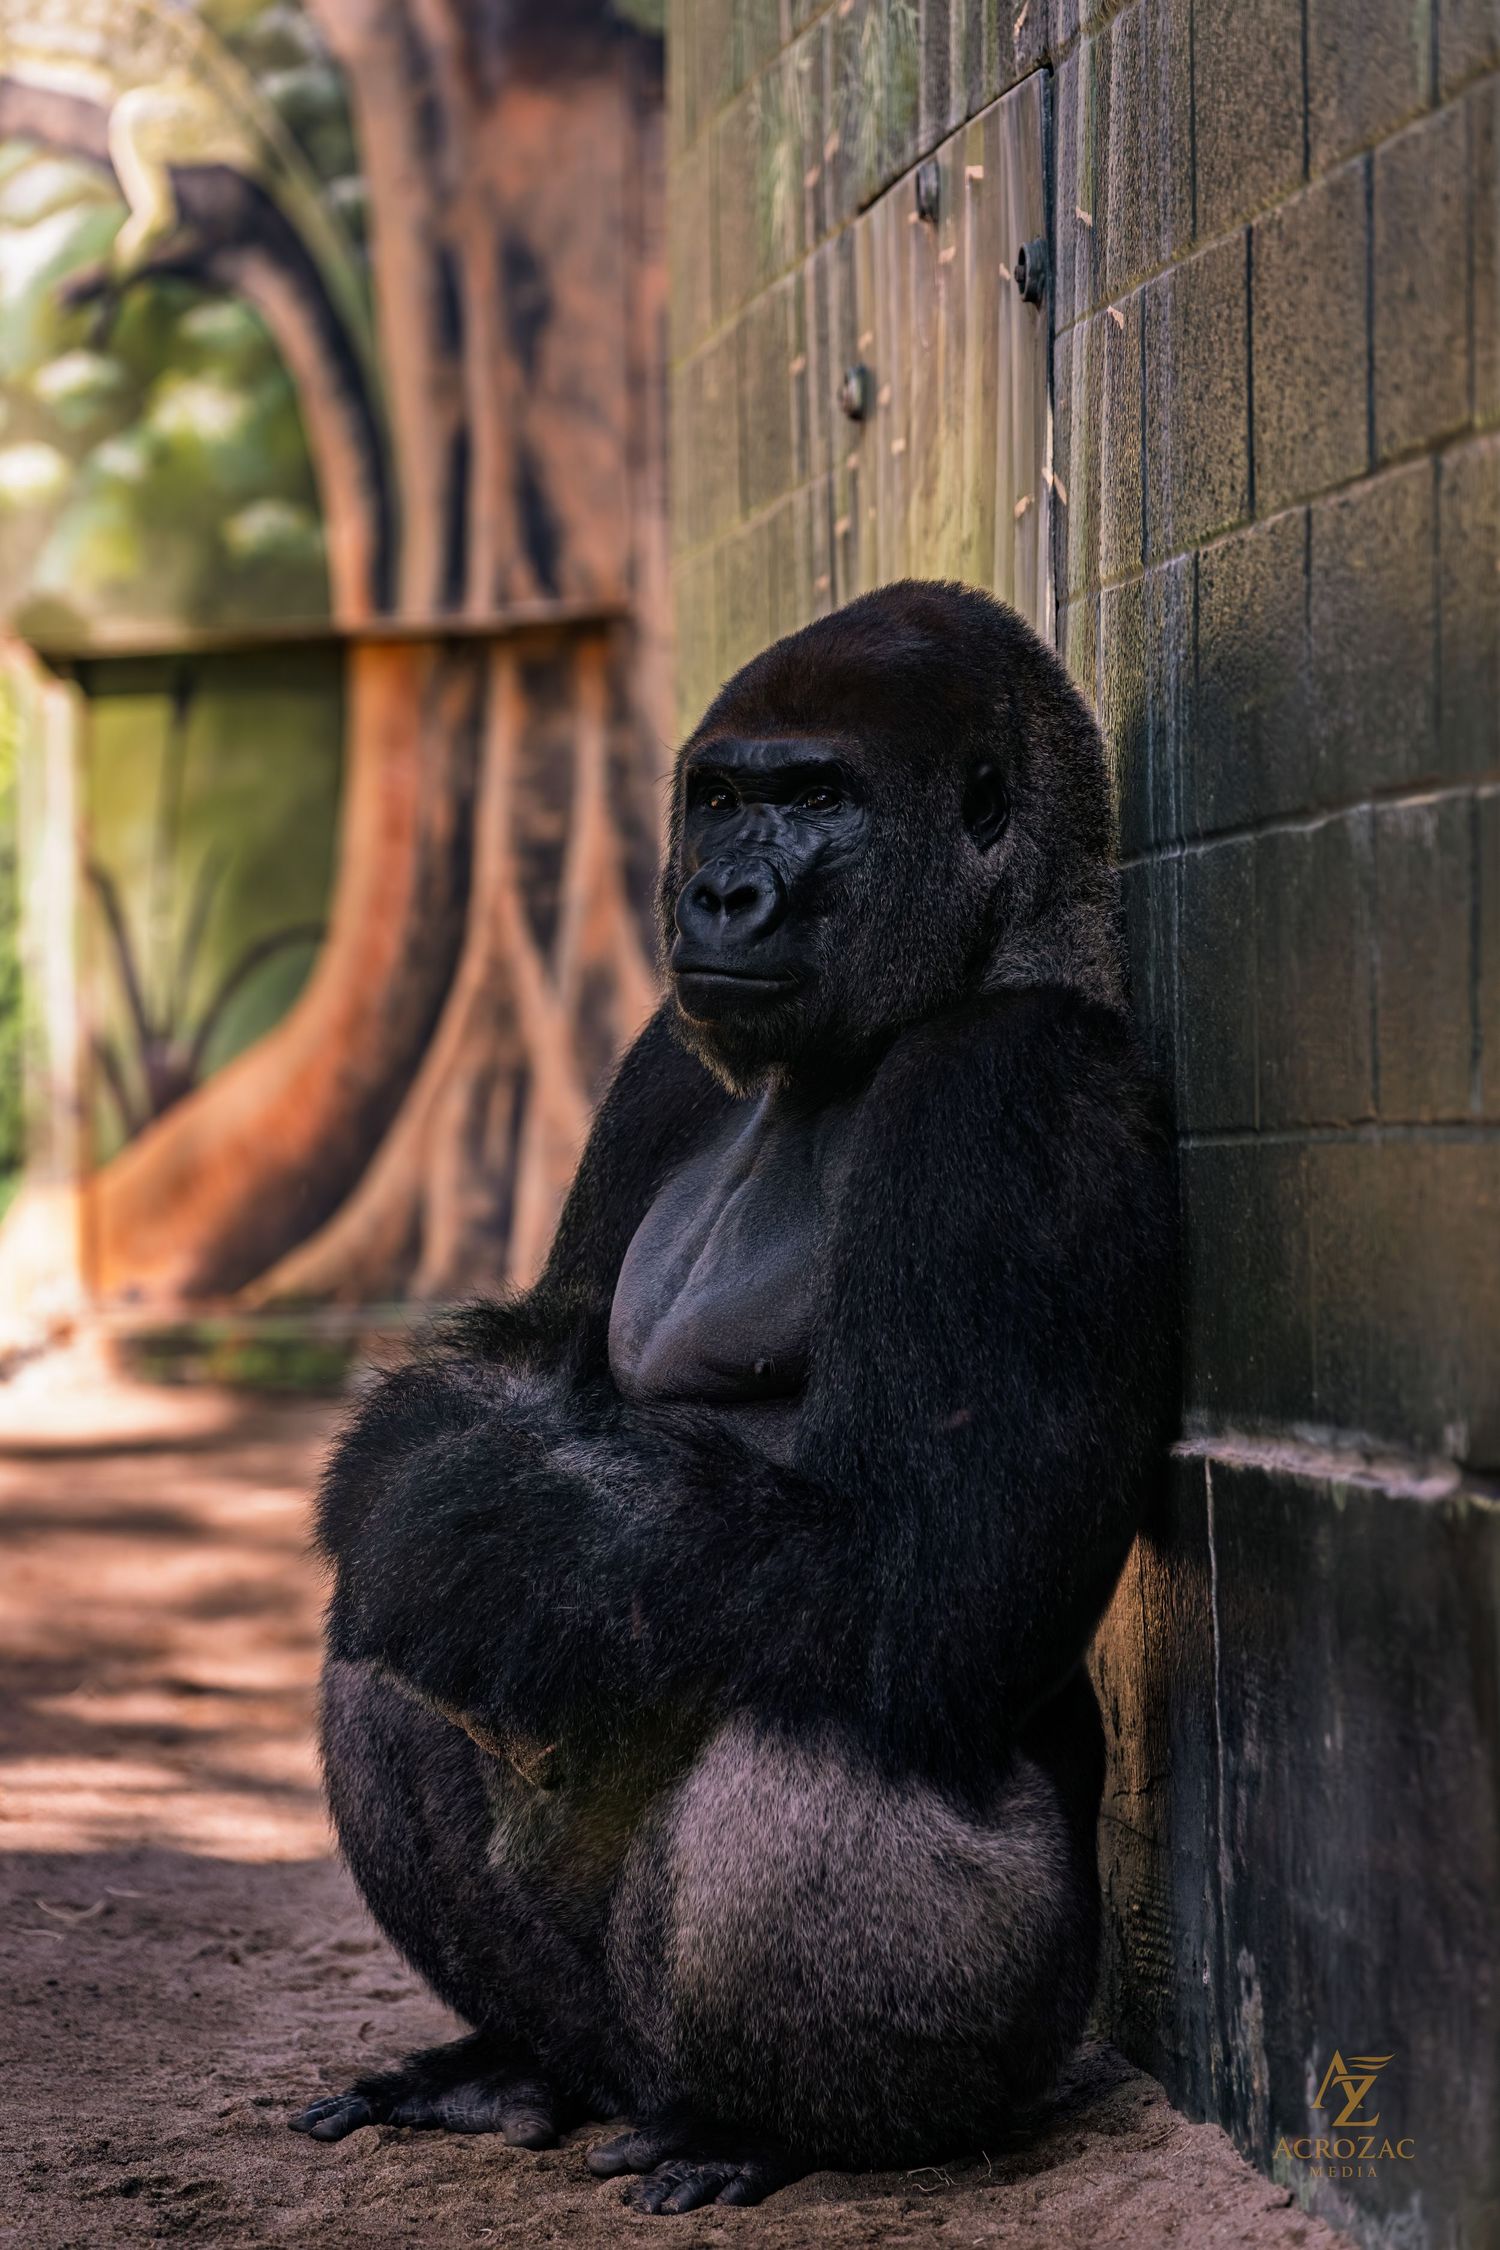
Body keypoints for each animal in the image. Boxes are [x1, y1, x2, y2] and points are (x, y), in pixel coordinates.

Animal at [289, 580, 1179, 2213]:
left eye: (819, 798)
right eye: (717, 797)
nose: (720, 899)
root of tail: (644, 2082)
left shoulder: (1017, 1091)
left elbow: (931, 1564)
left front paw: (459, 1511)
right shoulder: (660, 1052)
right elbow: (533, 1364)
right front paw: (419, 1458)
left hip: (1012, 2029)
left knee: (821, 1726)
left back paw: (779, 2130)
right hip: (606, 2025)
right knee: (384, 1657)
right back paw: (524, 2063)